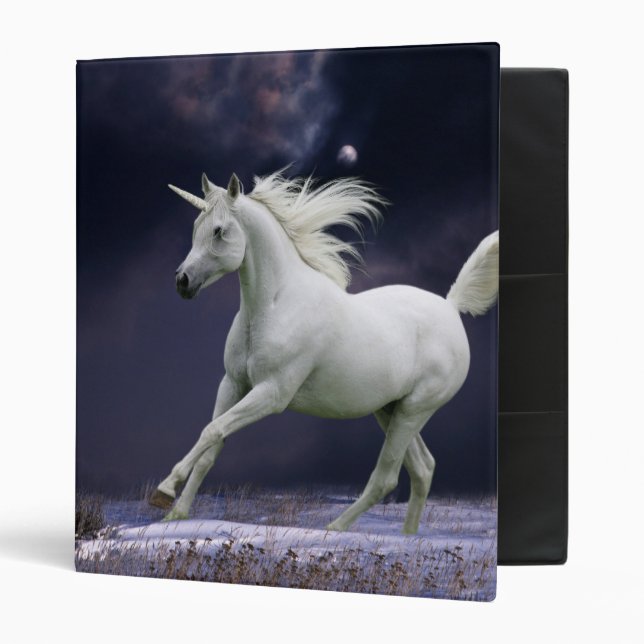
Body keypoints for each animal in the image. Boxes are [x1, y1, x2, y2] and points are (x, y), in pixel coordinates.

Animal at [149, 169, 499, 534]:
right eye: (196, 227)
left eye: (219, 230)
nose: (183, 281)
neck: (276, 306)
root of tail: (451, 307)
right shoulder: (232, 384)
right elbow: (210, 446)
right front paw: (176, 514)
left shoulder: (272, 393)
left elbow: (213, 430)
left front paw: (163, 491)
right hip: (390, 409)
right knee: (423, 468)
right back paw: (406, 538)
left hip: (414, 410)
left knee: (387, 477)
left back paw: (336, 528)